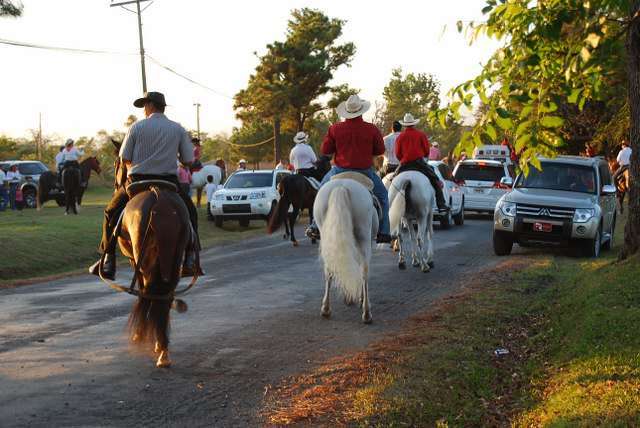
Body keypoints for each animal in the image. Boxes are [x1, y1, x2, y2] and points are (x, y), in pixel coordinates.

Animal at [312, 174, 378, 324]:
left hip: (326, 236)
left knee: (329, 270)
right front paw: (358, 298)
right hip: (364, 237)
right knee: (364, 271)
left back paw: (326, 308)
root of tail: (341, 186)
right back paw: (366, 312)